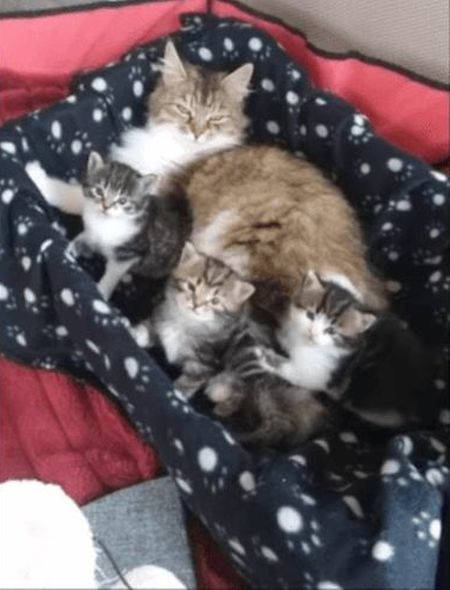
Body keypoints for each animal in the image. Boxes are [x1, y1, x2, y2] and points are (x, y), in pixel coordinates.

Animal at [69, 152, 191, 299]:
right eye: (99, 191)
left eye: (122, 201)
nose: (106, 206)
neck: (105, 222)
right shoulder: (92, 231)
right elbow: (85, 237)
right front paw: (71, 247)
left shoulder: (129, 253)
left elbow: (113, 274)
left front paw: (101, 293)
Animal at [131, 241, 256, 397]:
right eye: (191, 287)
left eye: (215, 301)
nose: (196, 304)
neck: (186, 322)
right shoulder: (160, 315)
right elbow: (151, 326)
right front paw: (136, 333)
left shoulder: (205, 365)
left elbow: (189, 382)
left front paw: (175, 394)